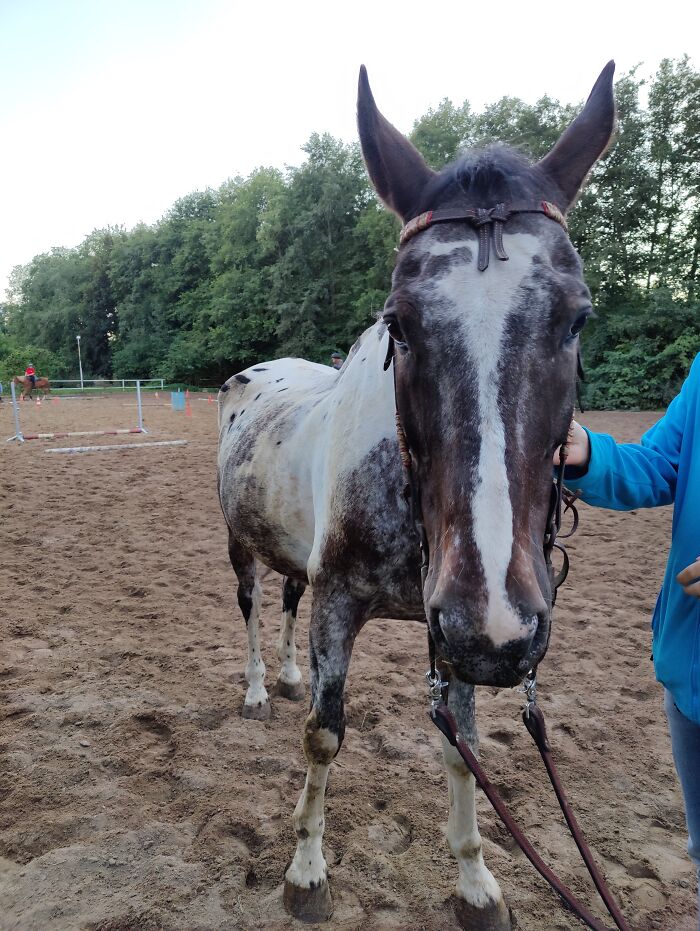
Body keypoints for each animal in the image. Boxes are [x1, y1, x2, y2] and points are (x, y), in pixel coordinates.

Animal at [217, 63, 615, 929]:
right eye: (398, 322)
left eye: (578, 317)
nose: (500, 627)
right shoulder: (349, 600)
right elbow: (324, 732)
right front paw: (306, 873)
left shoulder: (457, 625)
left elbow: (458, 745)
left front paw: (475, 881)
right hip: (240, 547)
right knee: (257, 608)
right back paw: (261, 685)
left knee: (285, 602)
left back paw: (286, 673)